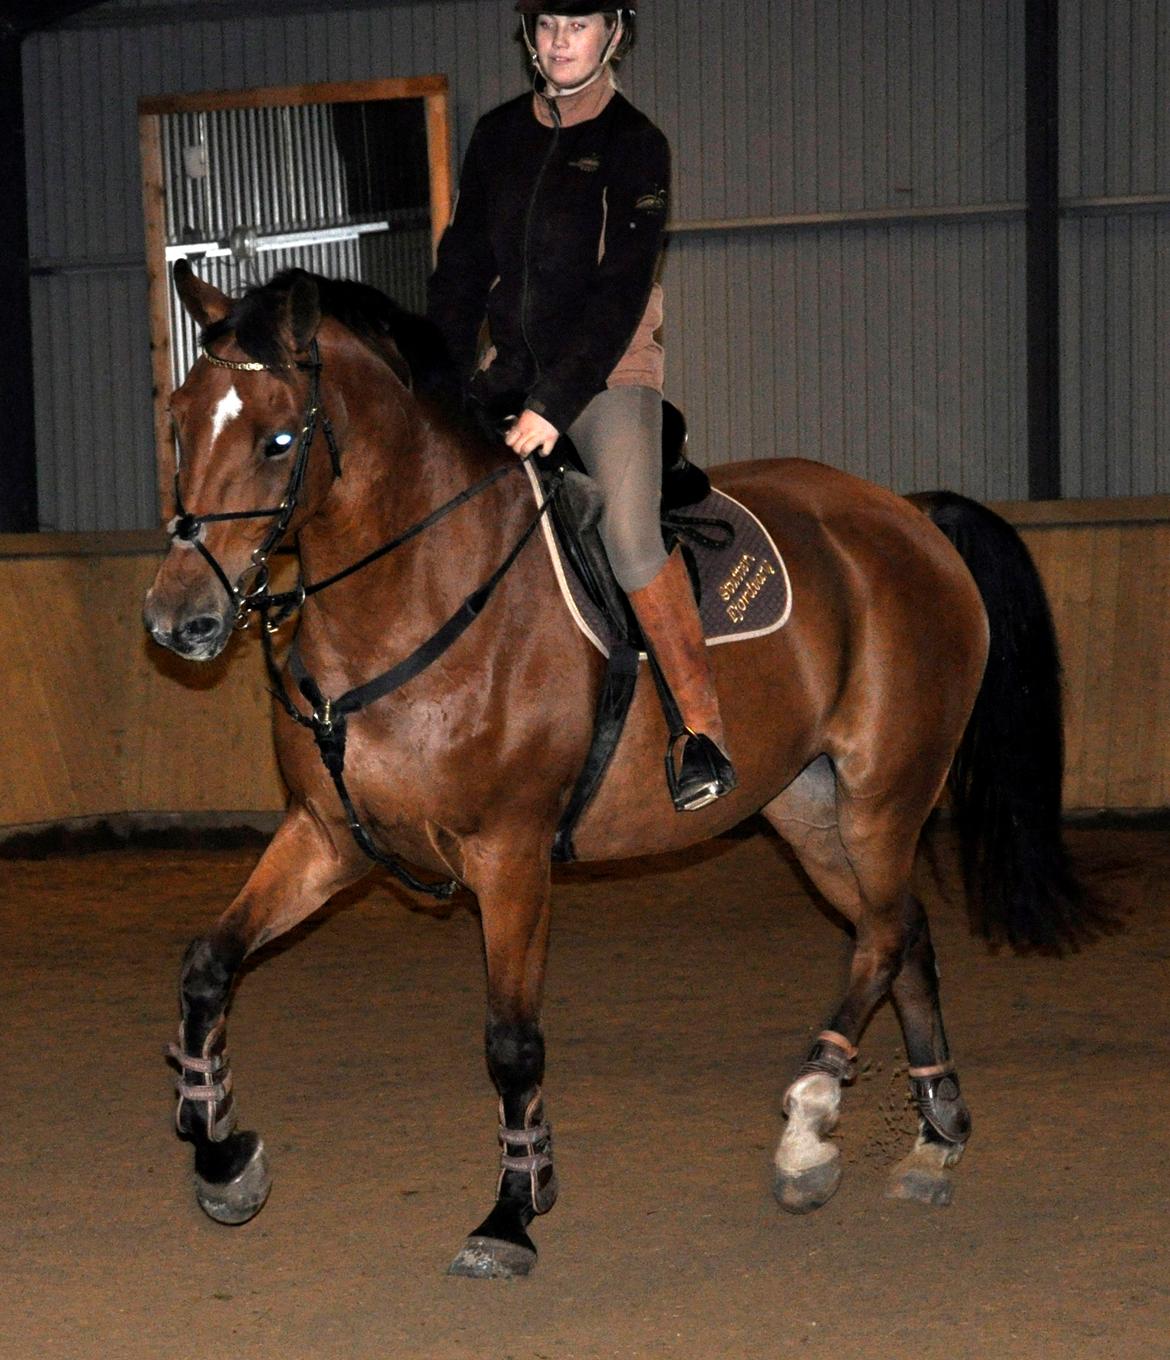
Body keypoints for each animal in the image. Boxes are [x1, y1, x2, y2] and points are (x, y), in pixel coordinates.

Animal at [144, 259, 1088, 1278]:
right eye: (181, 421)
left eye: (279, 439)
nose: (179, 619)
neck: (416, 595)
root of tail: (911, 515)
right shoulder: (326, 838)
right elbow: (207, 965)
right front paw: (222, 1154)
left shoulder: (510, 857)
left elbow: (512, 1043)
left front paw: (511, 1212)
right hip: (809, 808)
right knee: (903, 930)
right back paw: (933, 1138)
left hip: (884, 791)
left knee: (882, 936)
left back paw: (809, 1124)